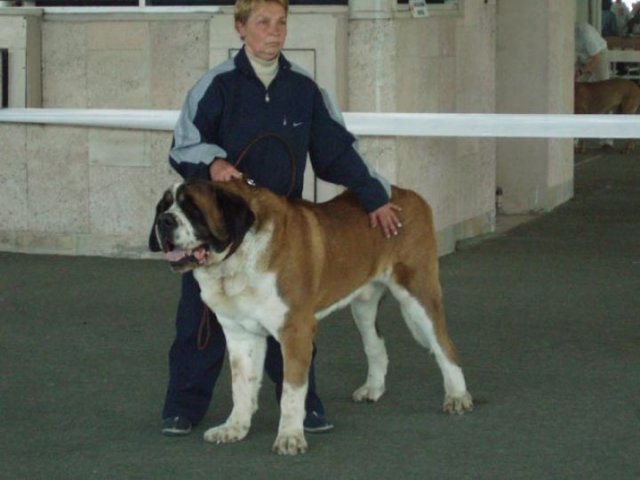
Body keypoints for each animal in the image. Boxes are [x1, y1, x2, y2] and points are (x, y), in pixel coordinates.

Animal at [149, 177, 473, 455]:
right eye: (164, 206)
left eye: (193, 208)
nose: (164, 221)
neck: (236, 258)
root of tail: (407, 193)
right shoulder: (240, 333)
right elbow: (241, 384)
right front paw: (235, 427)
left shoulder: (295, 331)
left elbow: (292, 391)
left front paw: (290, 437)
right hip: (363, 305)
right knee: (376, 345)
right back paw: (373, 389)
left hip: (417, 294)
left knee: (445, 346)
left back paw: (457, 396)